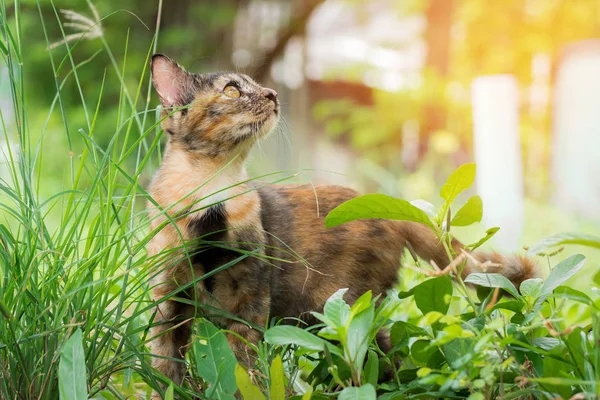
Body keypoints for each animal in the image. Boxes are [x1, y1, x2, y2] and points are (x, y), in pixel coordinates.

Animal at [146, 54, 540, 396]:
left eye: (256, 86)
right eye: (231, 90)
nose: (273, 94)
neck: (211, 204)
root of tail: (389, 205)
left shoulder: (250, 299)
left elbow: (241, 366)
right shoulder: (167, 301)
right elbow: (163, 368)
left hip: (341, 311)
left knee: (383, 361)